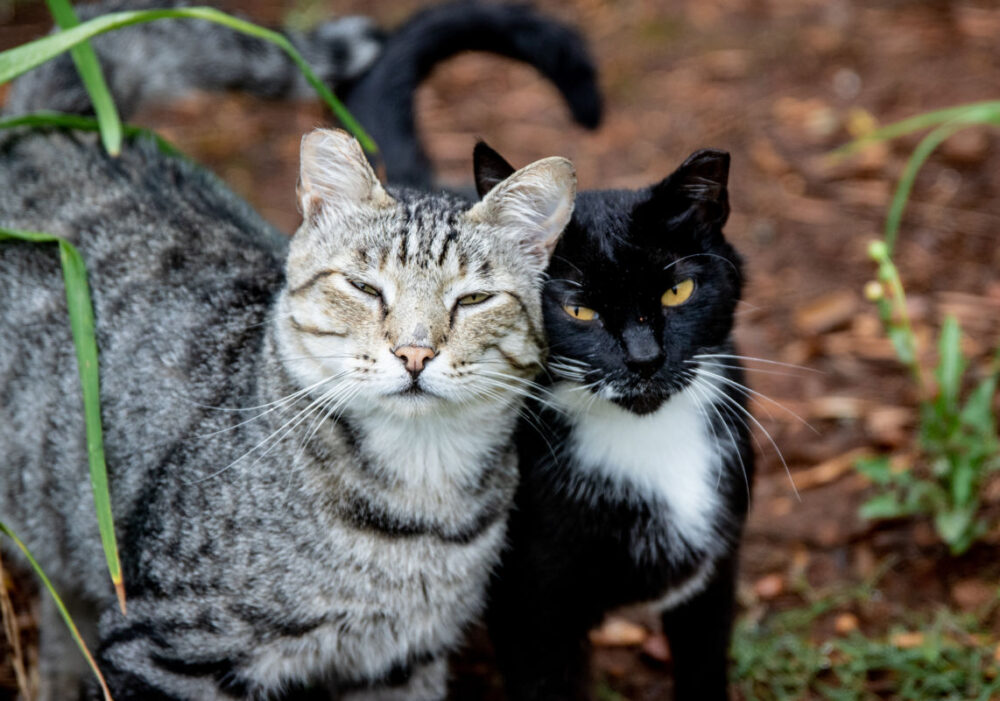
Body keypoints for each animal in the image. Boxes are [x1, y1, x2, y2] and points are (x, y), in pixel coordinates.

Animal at [0, 126, 576, 700]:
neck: (419, 493)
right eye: (365, 288)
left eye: (474, 300)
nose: (415, 354)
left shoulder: (401, 663)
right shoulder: (164, 646)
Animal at [474, 144, 752, 700]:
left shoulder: (714, 574)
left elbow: (705, 665)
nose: (644, 359)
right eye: (577, 310)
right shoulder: (529, 605)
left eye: (678, 291)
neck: (648, 441)